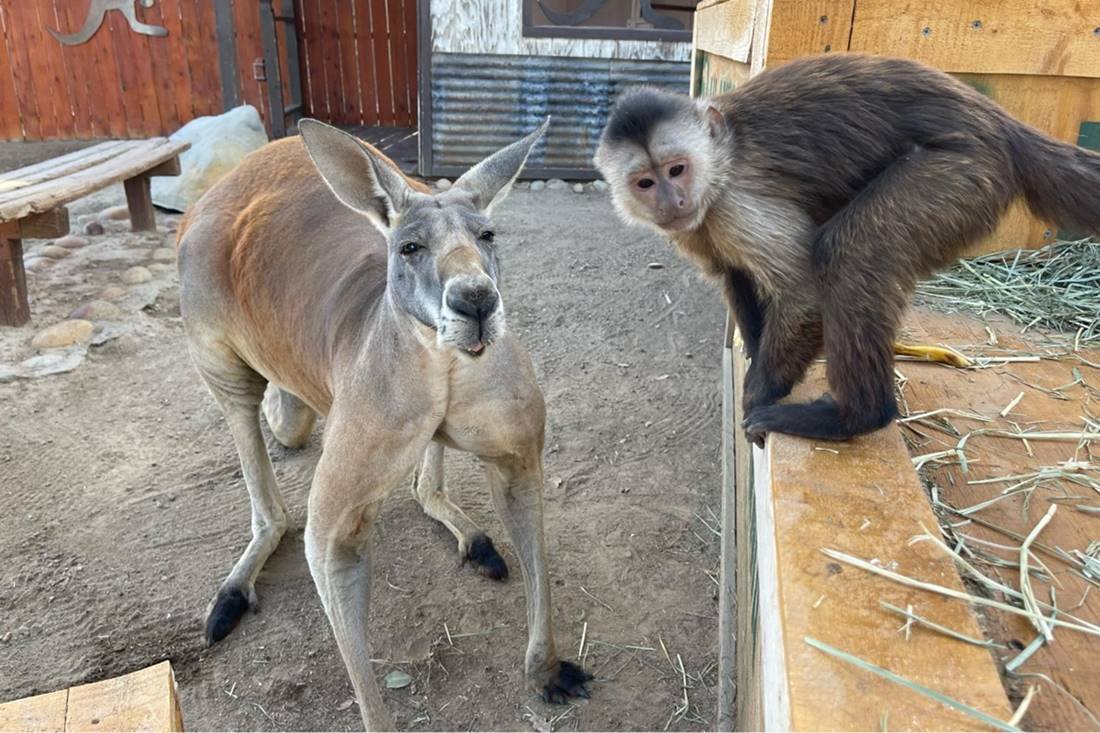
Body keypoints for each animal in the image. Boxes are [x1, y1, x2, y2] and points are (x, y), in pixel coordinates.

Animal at [598, 54, 1095, 442]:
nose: (671, 202)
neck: (717, 167)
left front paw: (762, 390)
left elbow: (803, 292)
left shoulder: (735, 203)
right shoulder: (695, 227)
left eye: (677, 170)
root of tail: (1001, 124)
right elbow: (734, 276)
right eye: (645, 183)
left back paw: (855, 417)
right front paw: (758, 356)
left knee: (849, 253)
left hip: (965, 170)